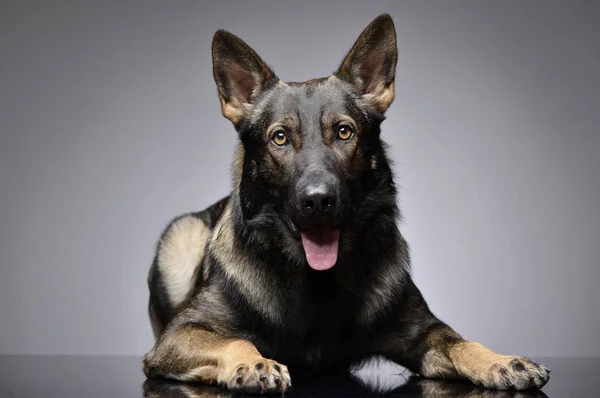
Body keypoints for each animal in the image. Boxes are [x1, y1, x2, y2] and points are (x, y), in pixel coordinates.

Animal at [143, 13, 552, 394]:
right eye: (279, 138)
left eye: (344, 132)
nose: (318, 201)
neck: (318, 282)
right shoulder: (178, 336)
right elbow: (235, 340)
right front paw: (253, 363)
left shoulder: (422, 333)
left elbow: (461, 342)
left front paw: (501, 361)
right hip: (180, 236)